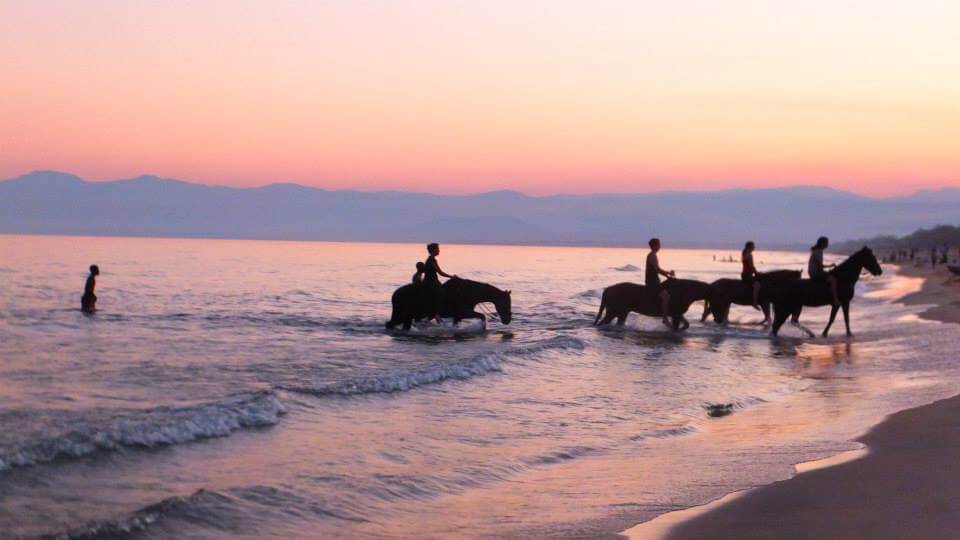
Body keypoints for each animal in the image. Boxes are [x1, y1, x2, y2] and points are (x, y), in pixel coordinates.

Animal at [588, 280, 716, 332]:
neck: (687, 290)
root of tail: (607, 289)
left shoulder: (677, 314)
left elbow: (686, 325)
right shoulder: (676, 314)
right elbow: (676, 328)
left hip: (622, 313)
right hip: (613, 312)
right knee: (602, 323)